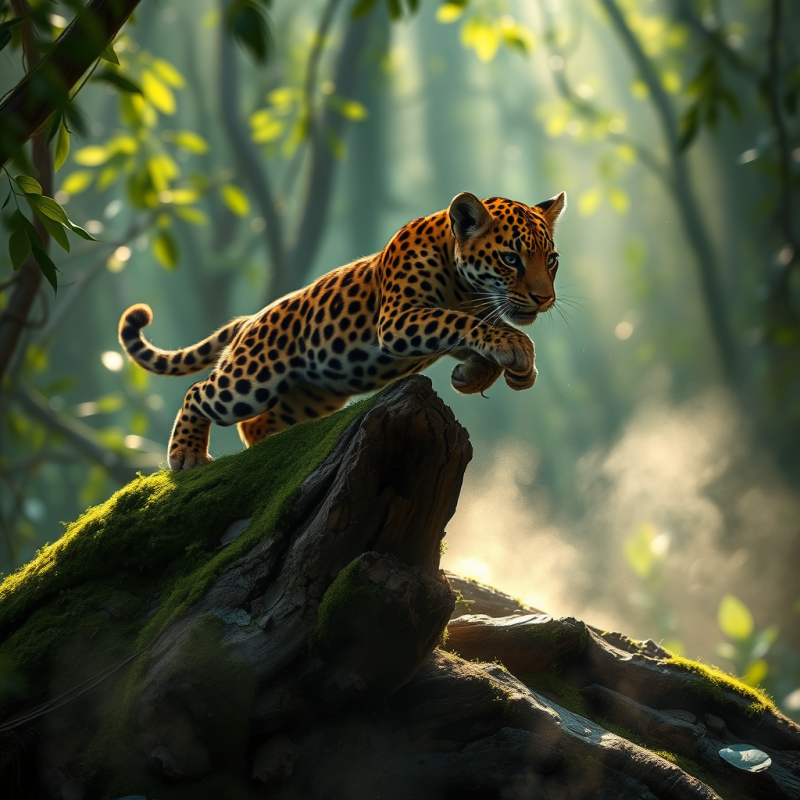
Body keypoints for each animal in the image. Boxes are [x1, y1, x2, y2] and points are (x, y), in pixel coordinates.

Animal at [119, 191, 566, 471]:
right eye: (510, 258)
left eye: (552, 259)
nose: (544, 298)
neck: (463, 283)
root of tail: (250, 319)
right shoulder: (399, 319)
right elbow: (461, 322)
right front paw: (514, 348)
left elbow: (477, 328)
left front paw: (483, 373)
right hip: (253, 379)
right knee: (199, 393)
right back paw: (187, 455)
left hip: (312, 397)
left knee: (256, 423)